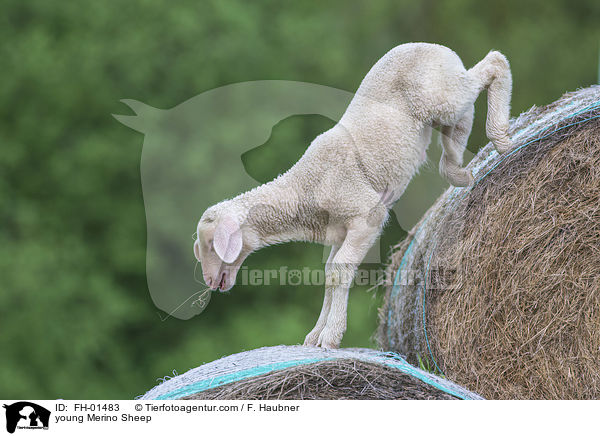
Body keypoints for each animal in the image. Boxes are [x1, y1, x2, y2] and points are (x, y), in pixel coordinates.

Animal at [192, 41, 510, 348]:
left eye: (211, 245)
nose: (209, 281)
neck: (305, 188)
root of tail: (436, 47)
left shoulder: (366, 215)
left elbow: (339, 271)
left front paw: (331, 336)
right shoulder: (340, 230)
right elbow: (329, 275)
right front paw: (315, 336)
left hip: (441, 95)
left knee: (494, 64)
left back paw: (501, 137)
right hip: (443, 101)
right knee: (460, 125)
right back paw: (460, 170)